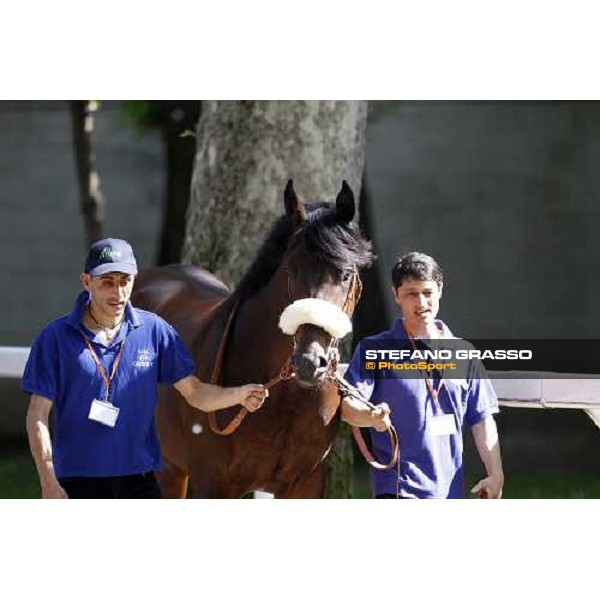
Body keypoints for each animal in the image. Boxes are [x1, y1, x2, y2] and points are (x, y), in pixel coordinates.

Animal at [134, 180, 372, 500]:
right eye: (290, 270)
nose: (309, 363)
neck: (286, 397)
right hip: (166, 469)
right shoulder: (214, 484)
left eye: (346, 275)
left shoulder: (304, 485)